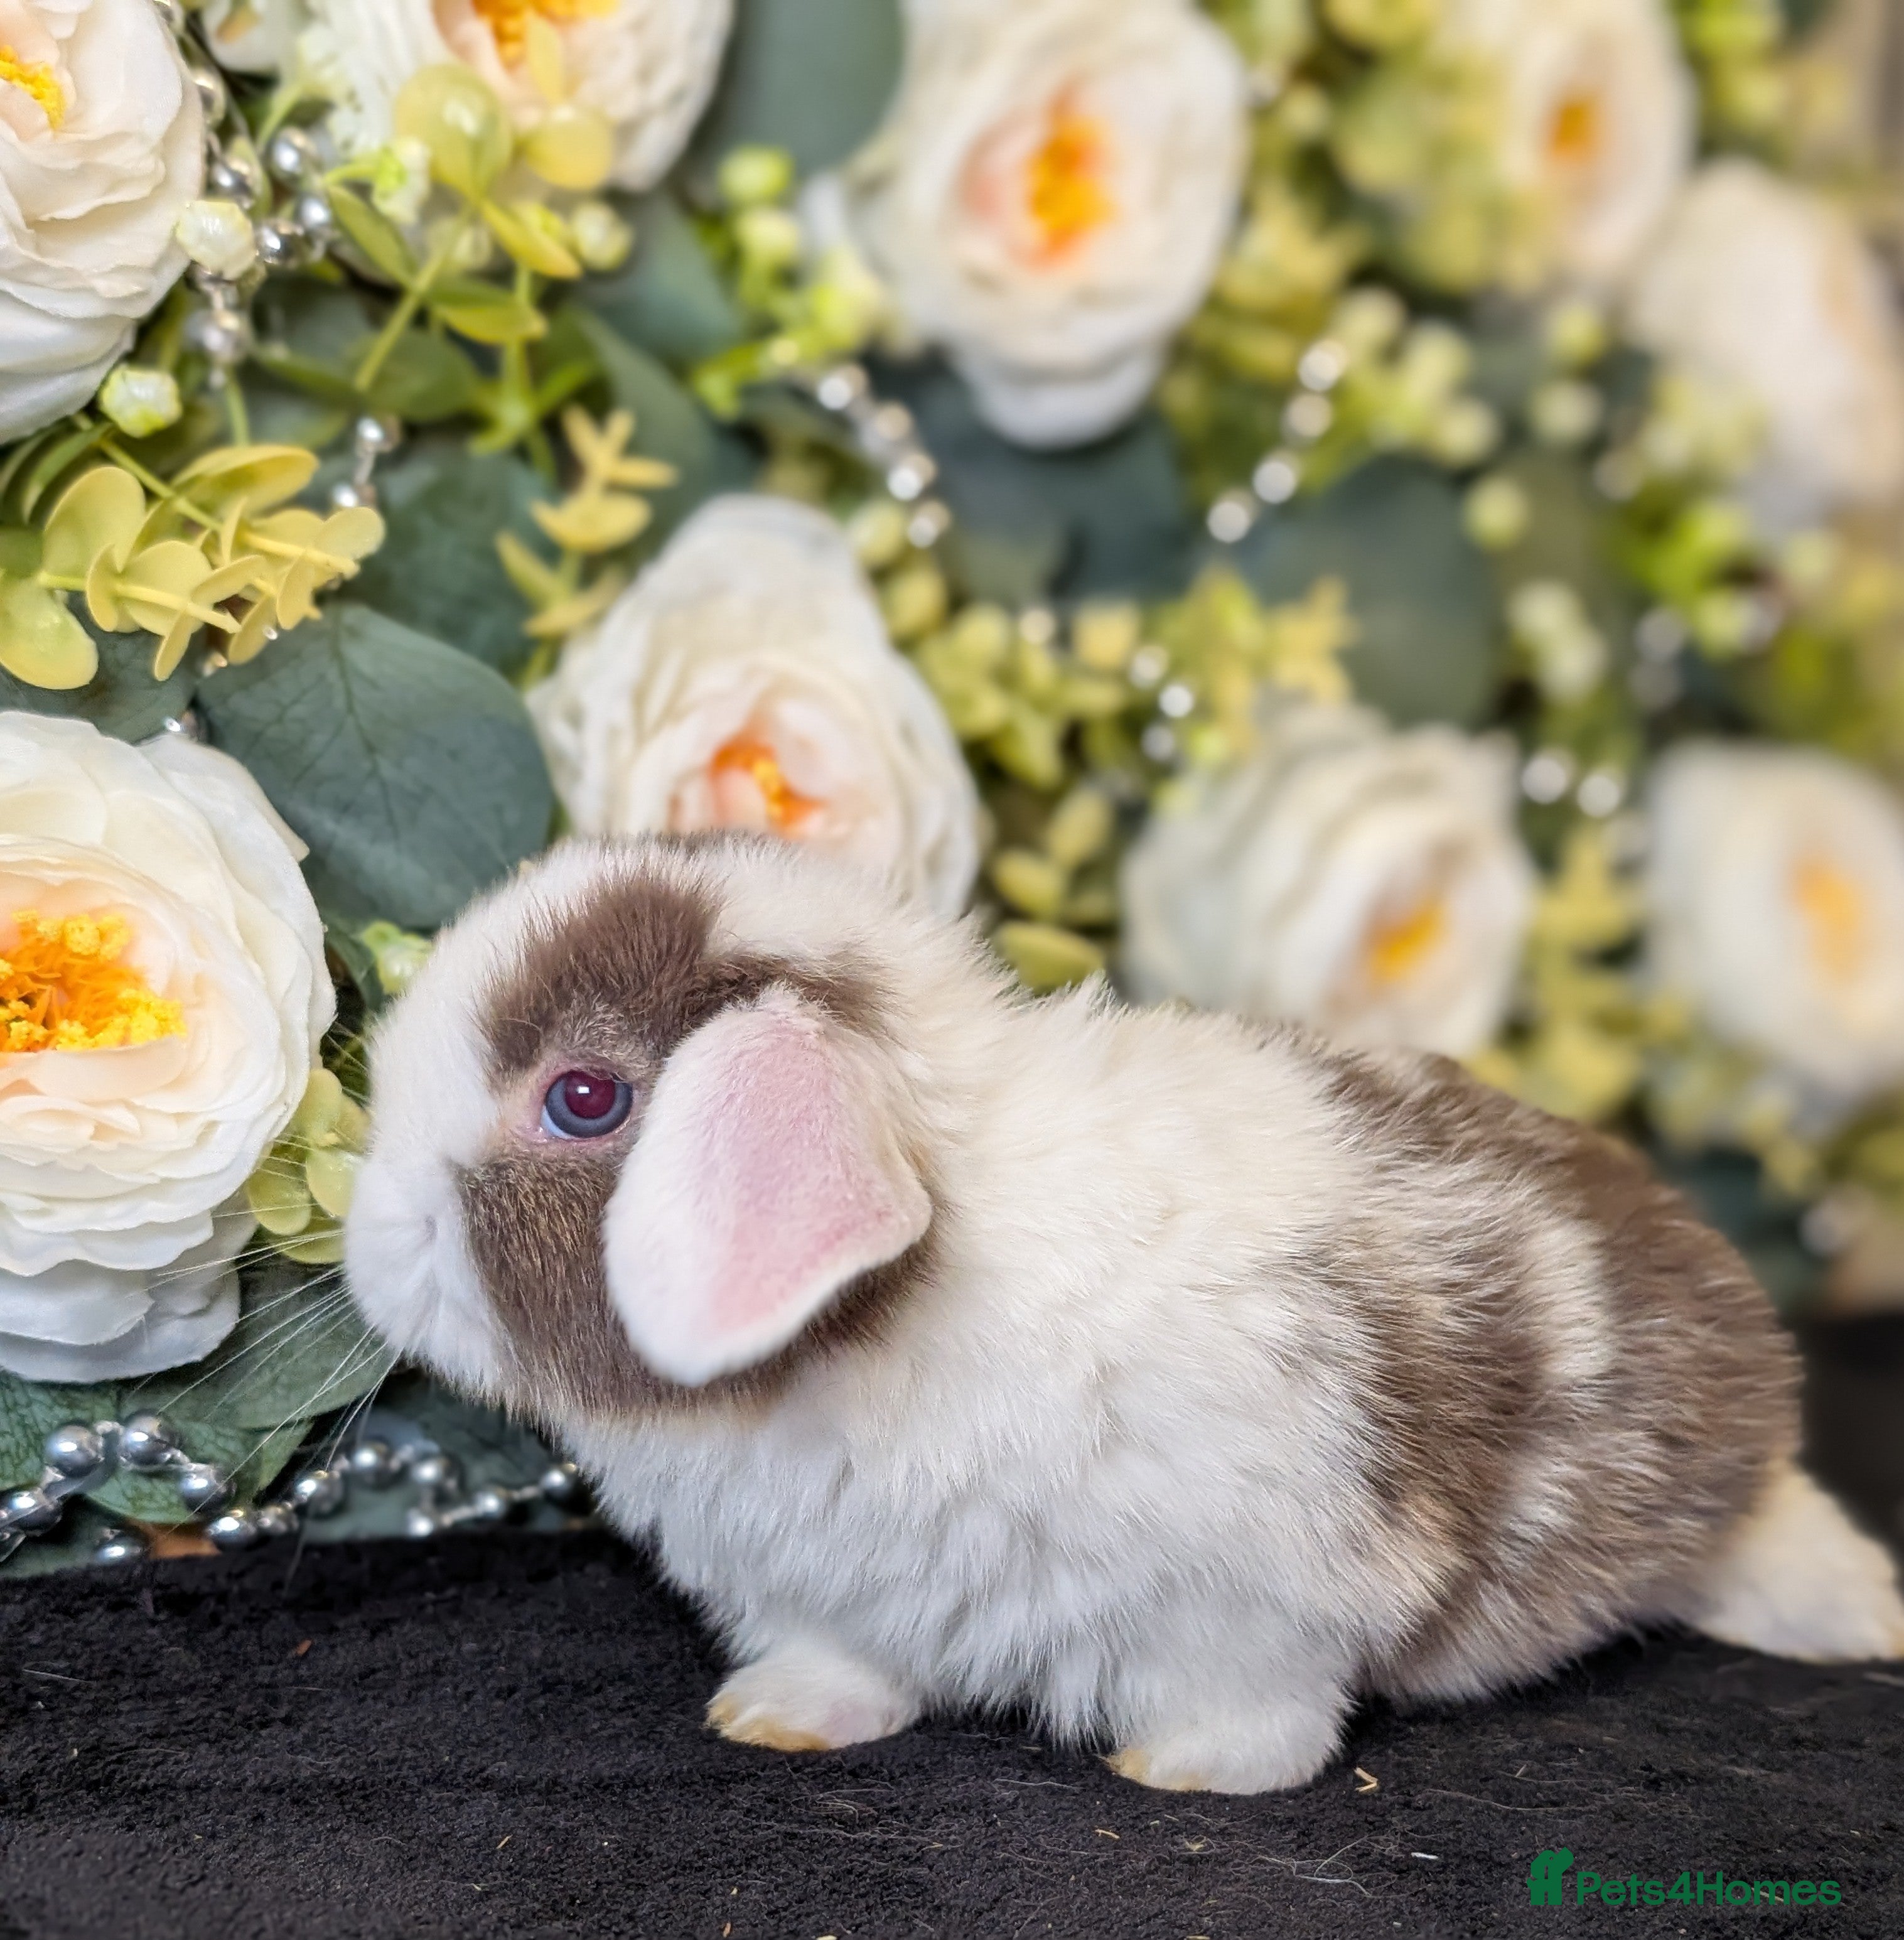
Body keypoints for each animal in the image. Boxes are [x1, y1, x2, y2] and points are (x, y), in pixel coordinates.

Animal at [345, 832, 1904, 1795]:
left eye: (582, 1098)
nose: (365, 1245)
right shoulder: (834, 1595)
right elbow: (842, 1671)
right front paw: (778, 1724)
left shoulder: (1265, 1594)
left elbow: (1260, 1713)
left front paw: (1188, 1774)